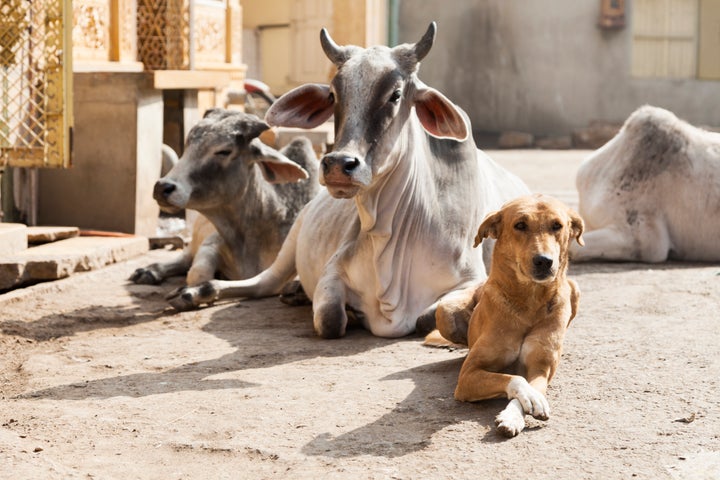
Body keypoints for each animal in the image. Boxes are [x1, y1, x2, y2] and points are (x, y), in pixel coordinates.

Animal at [130, 109, 320, 294]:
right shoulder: (211, 241)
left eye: (224, 151)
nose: (162, 187)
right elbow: (197, 273)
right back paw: (149, 271)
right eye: (188, 146)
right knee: (184, 258)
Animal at [169, 22, 528, 338]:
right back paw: (196, 293)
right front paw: (352, 314)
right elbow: (330, 318)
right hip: (291, 243)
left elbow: (431, 318)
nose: (339, 164)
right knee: (261, 284)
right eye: (332, 95)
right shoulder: (333, 270)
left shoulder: (470, 280)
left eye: (396, 95)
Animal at [434, 195, 584, 438]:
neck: (528, 302)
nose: (544, 261)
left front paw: (514, 415)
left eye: (557, 226)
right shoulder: (467, 375)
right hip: (444, 309)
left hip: (575, 288)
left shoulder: (541, 368)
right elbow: (513, 378)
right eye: (520, 225)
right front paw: (526, 400)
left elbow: (532, 385)